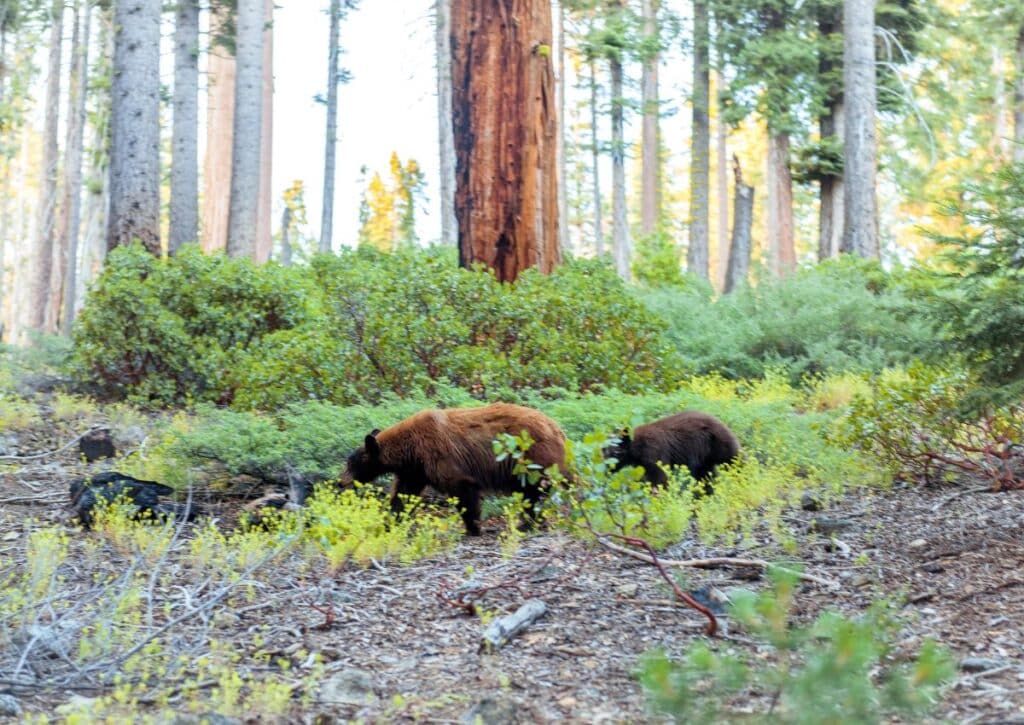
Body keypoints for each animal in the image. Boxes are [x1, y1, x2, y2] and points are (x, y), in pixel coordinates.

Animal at [342, 405, 569, 536]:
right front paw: (388, 523)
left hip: (533, 457)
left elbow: (462, 488)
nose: (340, 481)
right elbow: (403, 494)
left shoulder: (438, 455)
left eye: (351, 464)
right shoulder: (415, 470)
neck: (410, 448)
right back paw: (531, 522)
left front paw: (472, 527)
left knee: (540, 487)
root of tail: (557, 428)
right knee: (529, 493)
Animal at [602, 413, 741, 487]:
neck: (636, 448)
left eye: (613, 453)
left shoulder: (653, 452)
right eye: (603, 452)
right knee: (705, 476)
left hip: (718, 443)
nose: (606, 470)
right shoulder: (642, 463)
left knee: (734, 460)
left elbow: (659, 477)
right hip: (704, 458)